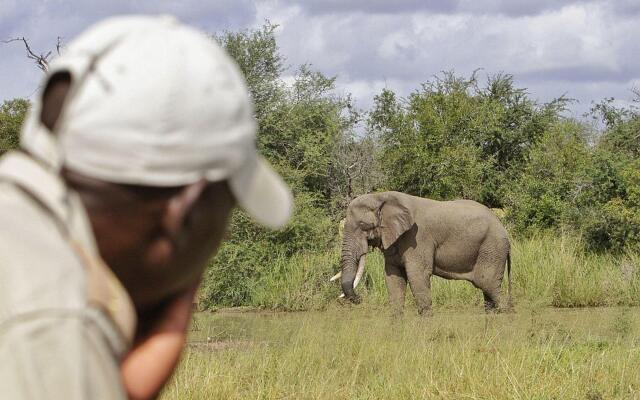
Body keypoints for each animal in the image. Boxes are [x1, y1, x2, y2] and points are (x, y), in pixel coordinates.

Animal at [340, 191, 510, 316]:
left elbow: (417, 276)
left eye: (363, 225)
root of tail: (503, 228)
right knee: (488, 294)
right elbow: (394, 278)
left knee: (488, 284)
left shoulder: (417, 238)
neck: (381, 196)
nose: (360, 298)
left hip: (492, 248)